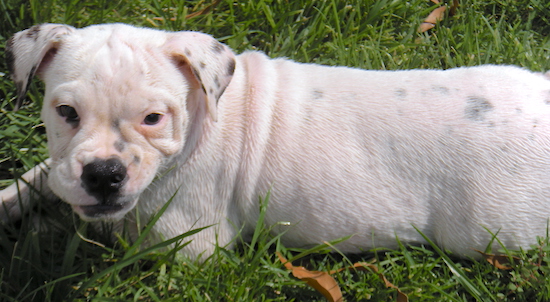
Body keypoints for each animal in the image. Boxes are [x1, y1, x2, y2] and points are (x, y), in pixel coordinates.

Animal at [3, 23, 550, 260]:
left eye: (153, 119)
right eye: (66, 114)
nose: (103, 174)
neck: (204, 111)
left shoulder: (184, 242)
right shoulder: (64, 167)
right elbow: (42, 177)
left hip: (495, 228)